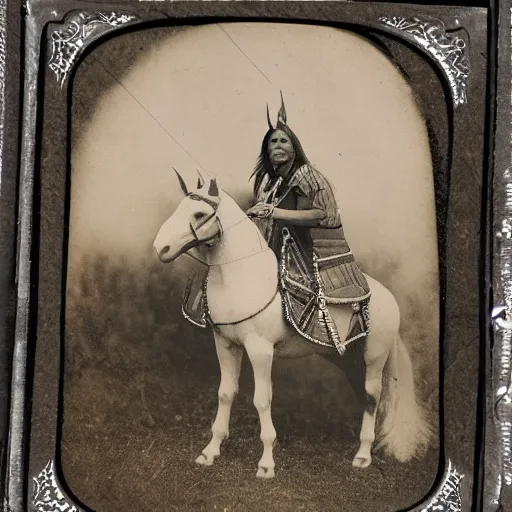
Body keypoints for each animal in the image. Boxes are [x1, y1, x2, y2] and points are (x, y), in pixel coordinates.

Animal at [152, 170, 432, 478]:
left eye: (200, 213)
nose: (160, 248)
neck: (241, 277)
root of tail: (389, 298)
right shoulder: (225, 345)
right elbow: (225, 393)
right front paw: (210, 451)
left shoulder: (260, 350)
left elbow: (262, 400)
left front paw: (266, 463)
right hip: (346, 357)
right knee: (364, 395)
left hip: (374, 356)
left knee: (372, 396)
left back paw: (362, 455)